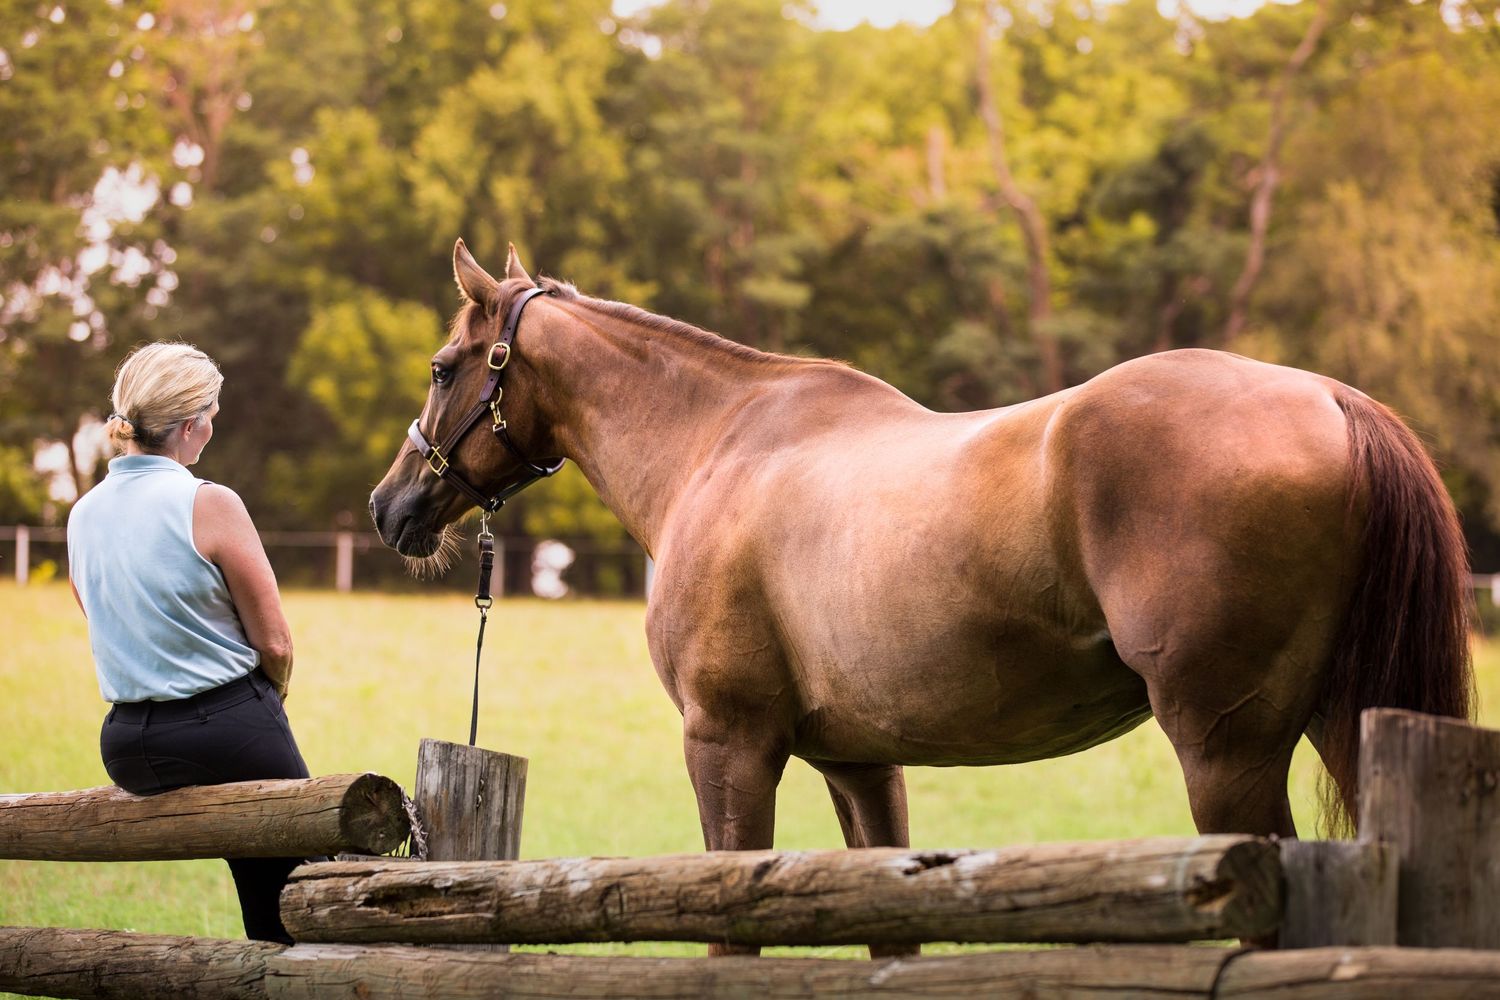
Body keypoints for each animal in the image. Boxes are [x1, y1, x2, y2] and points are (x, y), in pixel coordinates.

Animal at [371, 240, 1472, 947]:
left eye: (441, 366)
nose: (392, 506)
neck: (719, 444)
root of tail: (1332, 397)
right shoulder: (860, 765)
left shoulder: (728, 745)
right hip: (1341, 721)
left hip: (1224, 751)